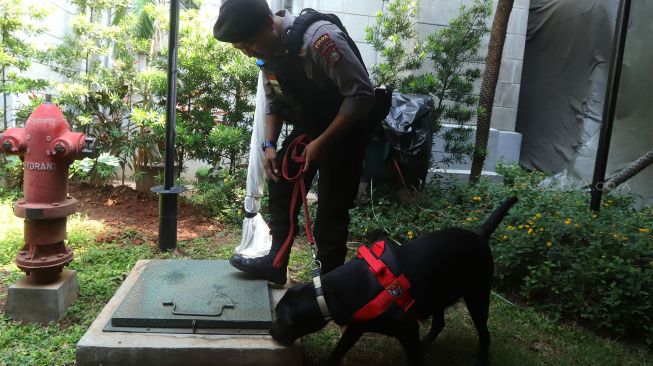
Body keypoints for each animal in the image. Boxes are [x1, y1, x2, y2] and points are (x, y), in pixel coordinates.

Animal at [268, 199, 516, 364]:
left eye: (281, 319)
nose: (271, 332)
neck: (329, 293)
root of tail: (479, 234)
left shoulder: (407, 328)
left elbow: (414, 359)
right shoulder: (357, 325)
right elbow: (339, 349)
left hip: (477, 296)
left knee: (484, 334)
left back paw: (482, 359)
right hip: (440, 293)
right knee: (439, 323)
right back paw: (427, 343)